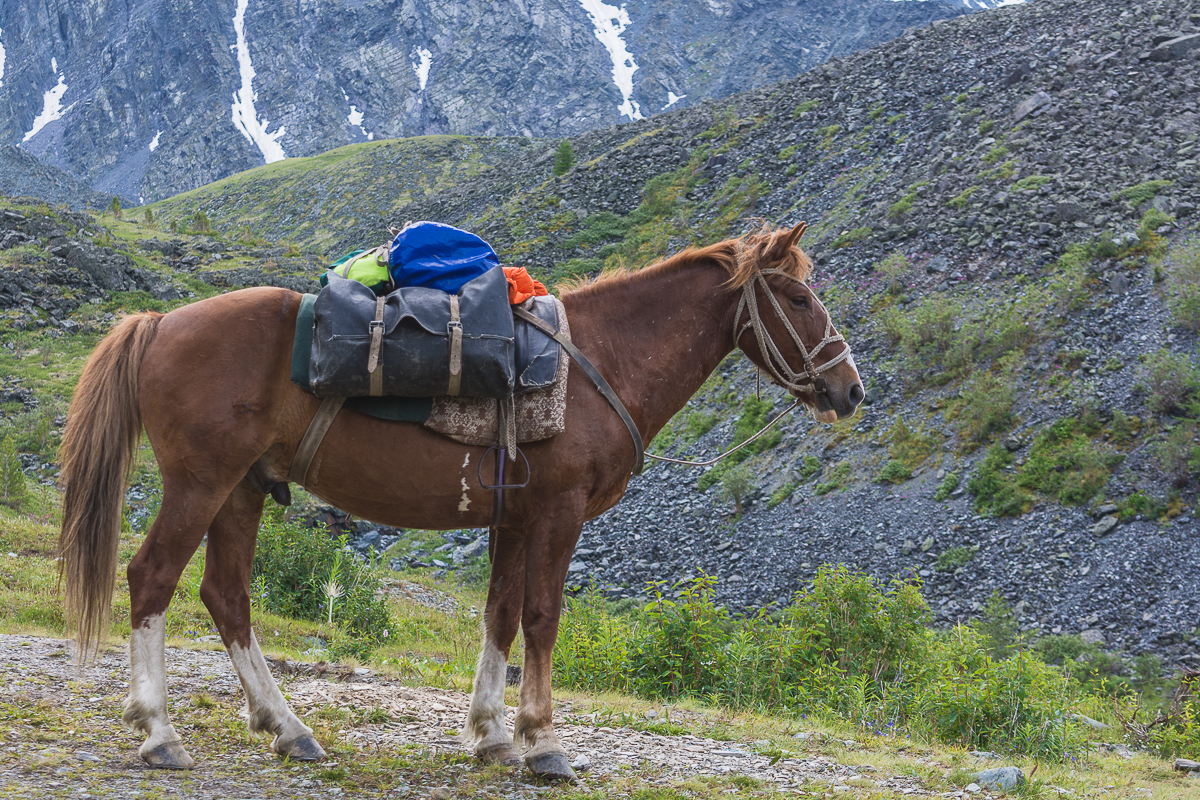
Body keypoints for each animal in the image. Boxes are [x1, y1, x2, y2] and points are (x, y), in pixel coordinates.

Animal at [58, 221, 864, 777]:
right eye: (798, 297)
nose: (849, 389)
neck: (600, 362)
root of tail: (160, 323)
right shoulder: (559, 513)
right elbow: (542, 618)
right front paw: (544, 744)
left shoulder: (514, 517)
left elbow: (499, 616)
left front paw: (493, 736)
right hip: (200, 484)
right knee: (152, 578)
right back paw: (160, 732)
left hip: (242, 491)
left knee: (227, 597)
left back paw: (287, 728)